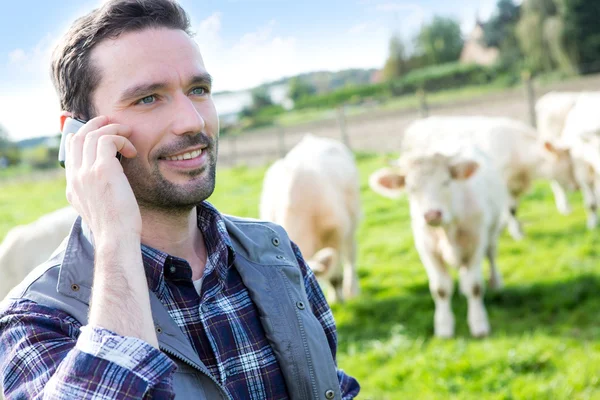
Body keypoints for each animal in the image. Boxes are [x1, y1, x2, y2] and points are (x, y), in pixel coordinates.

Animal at [258, 133, 360, 302]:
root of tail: (312, 139)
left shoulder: (335, 235)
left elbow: (334, 277)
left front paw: (338, 299)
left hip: (352, 222)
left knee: (350, 256)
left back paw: (351, 291)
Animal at [370, 149, 506, 338]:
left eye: (446, 182)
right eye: (411, 188)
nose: (432, 214)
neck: (447, 229)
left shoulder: (477, 241)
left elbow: (475, 285)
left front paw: (479, 324)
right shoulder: (427, 248)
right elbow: (441, 288)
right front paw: (444, 327)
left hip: (492, 230)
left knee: (491, 254)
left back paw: (495, 282)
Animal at [400, 115, 576, 241]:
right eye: (569, 163)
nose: (576, 185)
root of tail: (415, 125)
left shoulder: (514, 186)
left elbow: (513, 209)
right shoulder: (504, 185)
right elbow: (510, 210)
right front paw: (516, 233)